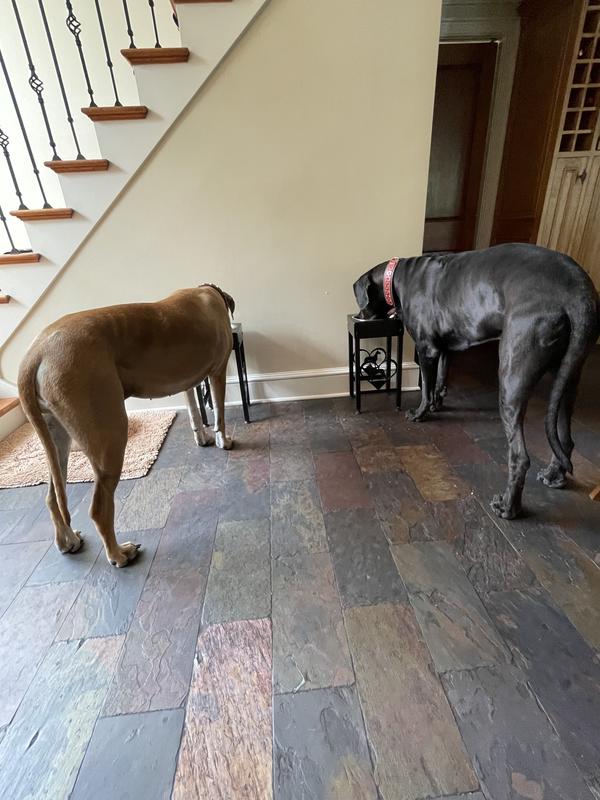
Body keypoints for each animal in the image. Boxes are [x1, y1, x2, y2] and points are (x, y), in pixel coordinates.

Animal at [18, 284, 235, 567]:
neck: (208, 293)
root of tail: (35, 354)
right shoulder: (218, 371)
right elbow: (219, 412)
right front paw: (223, 439)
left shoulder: (188, 382)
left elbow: (194, 412)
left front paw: (203, 437)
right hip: (111, 437)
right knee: (99, 509)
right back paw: (119, 554)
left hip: (57, 439)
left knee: (54, 497)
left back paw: (68, 541)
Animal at [353, 243, 600, 519]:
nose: (359, 315)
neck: (397, 278)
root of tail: (578, 291)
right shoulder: (445, 348)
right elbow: (440, 379)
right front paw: (437, 404)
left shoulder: (426, 349)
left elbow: (426, 386)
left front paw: (420, 413)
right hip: (567, 377)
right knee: (565, 439)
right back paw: (555, 476)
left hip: (512, 378)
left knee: (520, 456)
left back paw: (508, 507)